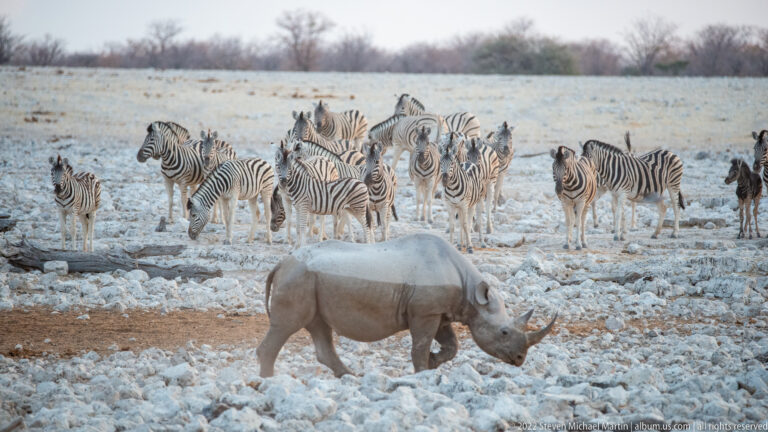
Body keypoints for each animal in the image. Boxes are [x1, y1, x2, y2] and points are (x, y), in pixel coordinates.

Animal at [257, 233, 557, 377]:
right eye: (504, 332)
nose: (519, 359)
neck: (472, 294)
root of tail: (282, 262)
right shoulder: (425, 312)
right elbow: (420, 345)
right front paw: (423, 372)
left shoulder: (440, 312)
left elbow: (452, 346)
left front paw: (434, 363)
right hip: (299, 278)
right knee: (287, 326)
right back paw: (268, 381)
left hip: (310, 281)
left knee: (319, 328)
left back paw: (351, 377)